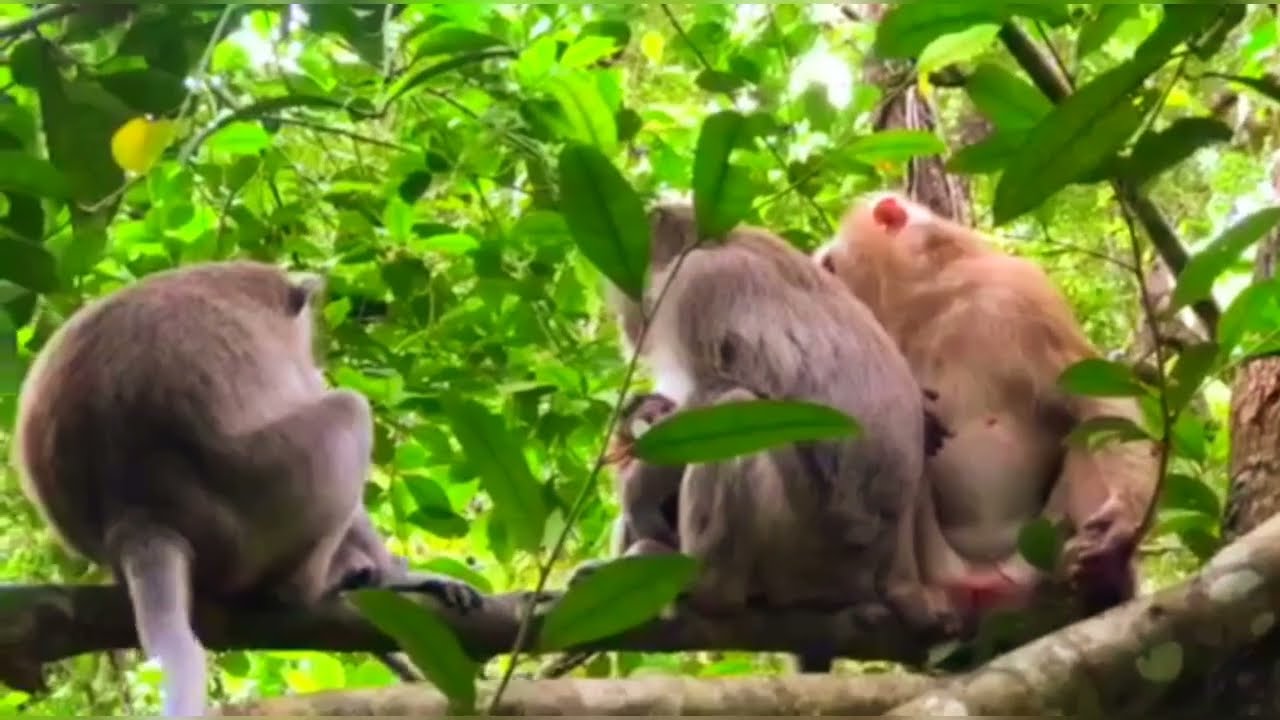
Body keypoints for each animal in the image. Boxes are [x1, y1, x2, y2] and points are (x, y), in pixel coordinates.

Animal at [813, 192, 1160, 631]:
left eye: (829, 266)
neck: (930, 302)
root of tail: (984, 586)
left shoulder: (1022, 289)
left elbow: (1096, 398)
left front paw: (1121, 520)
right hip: (939, 563)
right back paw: (908, 596)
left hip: (1040, 551)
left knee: (1083, 435)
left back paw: (1105, 582)